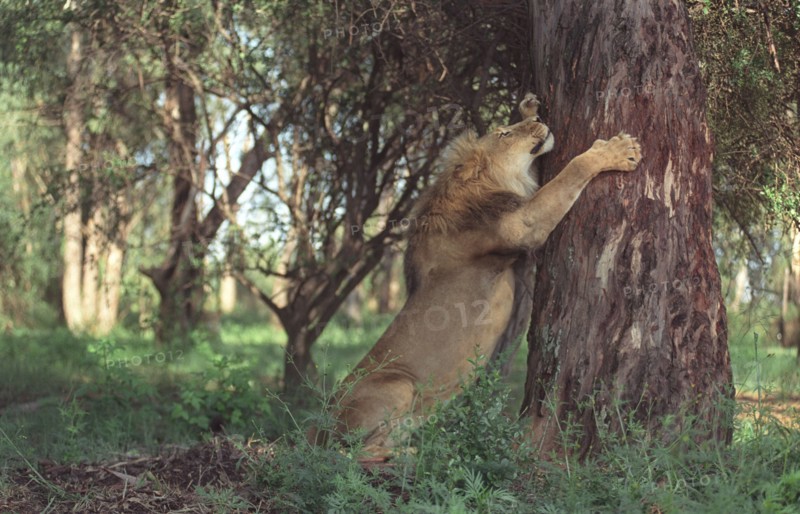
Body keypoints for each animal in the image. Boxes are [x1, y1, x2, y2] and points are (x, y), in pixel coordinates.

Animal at [314, 93, 641, 455]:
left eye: (511, 125)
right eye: (504, 134)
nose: (539, 118)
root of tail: (316, 429)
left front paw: (529, 105)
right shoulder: (524, 225)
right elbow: (570, 173)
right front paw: (615, 150)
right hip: (397, 385)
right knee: (350, 452)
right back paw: (414, 454)